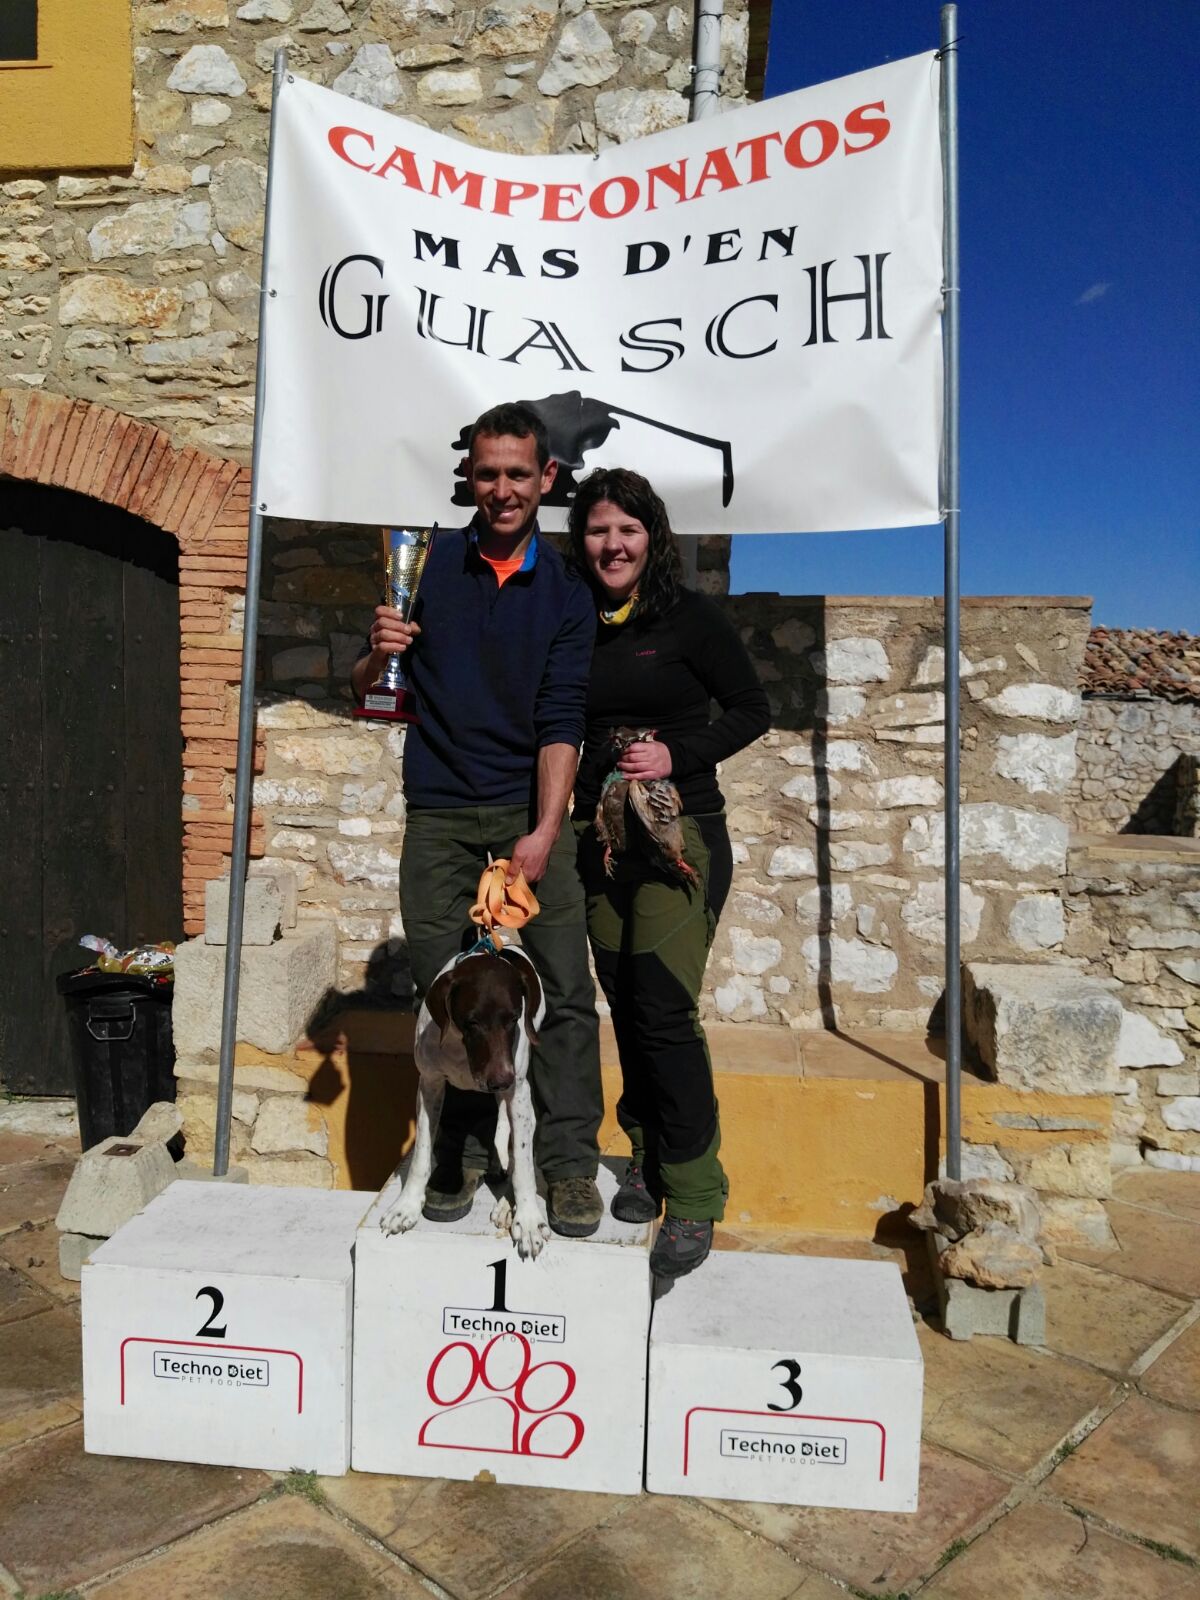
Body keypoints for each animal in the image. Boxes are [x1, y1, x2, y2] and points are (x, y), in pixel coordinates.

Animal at [379, 942, 550, 1258]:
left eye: (513, 1019)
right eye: (472, 1021)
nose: (501, 1081)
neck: (460, 1048)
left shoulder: (519, 1092)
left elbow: (523, 1166)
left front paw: (529, 1221)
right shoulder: (429, 1086)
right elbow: (421, 1154)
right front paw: (406, 1206)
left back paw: (507, 1205)